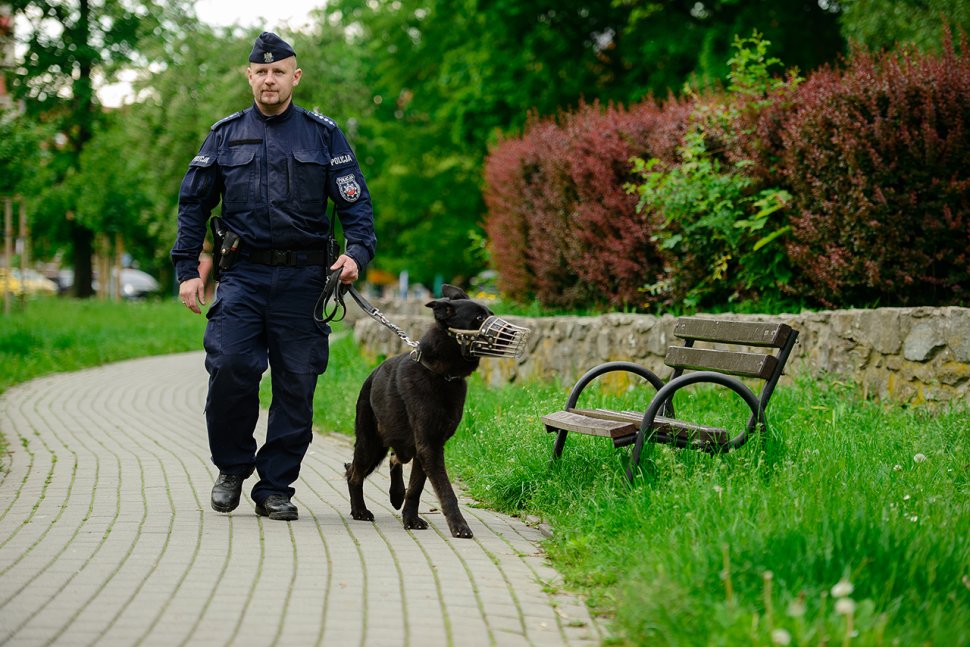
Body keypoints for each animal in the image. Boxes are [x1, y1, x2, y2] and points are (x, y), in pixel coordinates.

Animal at [348, 286, 516, 540]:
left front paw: (410, 518)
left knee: (395, 458)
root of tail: (371, 376)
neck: (443, 375)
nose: (511, 333)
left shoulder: (428, 447)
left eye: (491, 315)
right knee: (353, 473)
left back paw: (395, 495)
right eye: (479, 318)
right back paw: (359, 510)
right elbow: (446, 491)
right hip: (371, 444)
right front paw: (459, 525)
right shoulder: (430, 446)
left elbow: (416, 489)